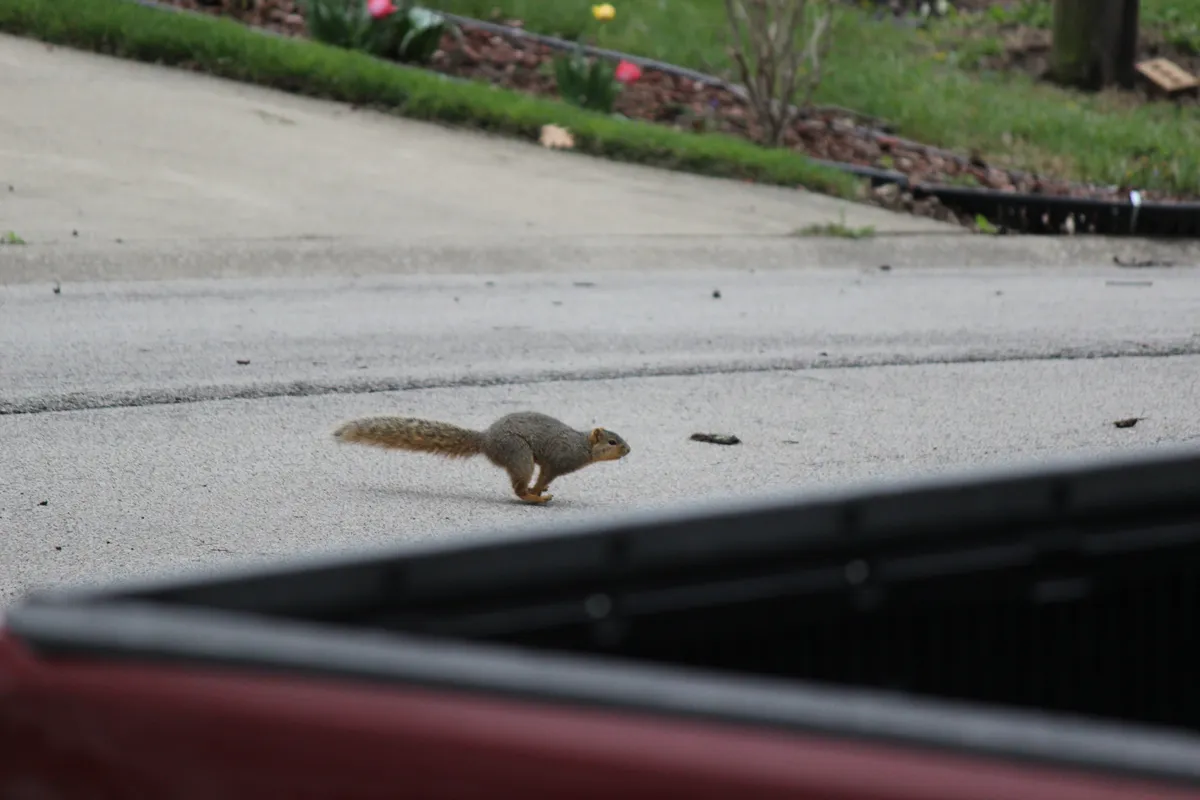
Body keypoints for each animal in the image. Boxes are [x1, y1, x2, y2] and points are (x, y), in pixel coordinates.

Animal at [332, 411, 631, 504]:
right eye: (612, 442)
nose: (628, 450)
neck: (582, 446)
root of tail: (486, 440)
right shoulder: (559, 460)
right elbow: (546, 472)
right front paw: (540, 488)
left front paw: (542, 486)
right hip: (518, 454)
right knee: (518, 487)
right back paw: (534, 497)